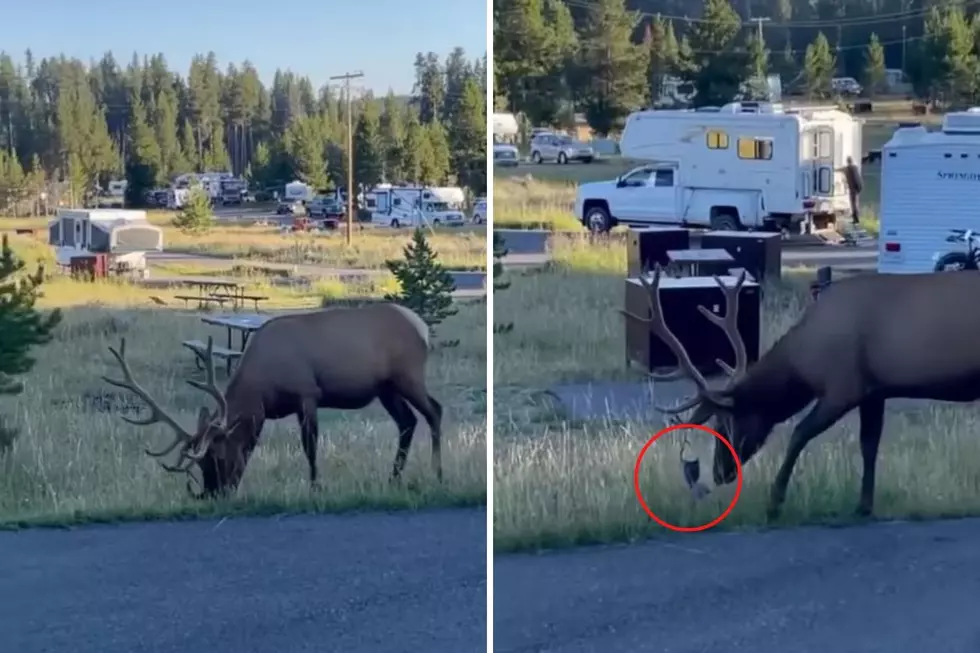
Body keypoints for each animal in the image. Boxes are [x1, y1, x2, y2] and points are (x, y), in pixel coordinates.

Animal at [103, 304, 444, 496]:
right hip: (386, 388)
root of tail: (422, 327)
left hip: (408, 375)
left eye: (218, 457)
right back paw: (394, 479)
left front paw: (316, 487)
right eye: (200, 465)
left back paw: (437, 474)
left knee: (434, 411)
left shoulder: (307, 394)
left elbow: (310, 446)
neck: (262, 390)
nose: (214, 494)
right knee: (407, 422)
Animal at [632, 264, 980, 520]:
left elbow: (800, 433)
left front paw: (774, 502)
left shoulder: (843, 387)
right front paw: (863, 506)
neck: (804, 361)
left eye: (725, 424)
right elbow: (869, 445)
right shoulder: (873, 391)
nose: (719, 473)